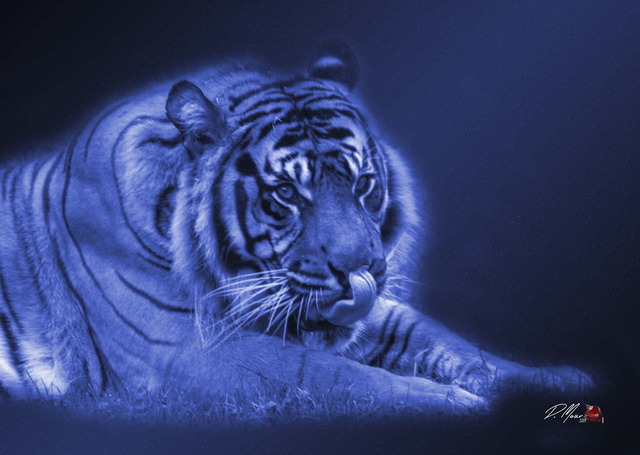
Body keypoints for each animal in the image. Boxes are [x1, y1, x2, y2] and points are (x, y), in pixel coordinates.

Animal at [0, 40, 592, 412]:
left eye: (363, 184)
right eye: (286, 194)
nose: (361, 270)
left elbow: (456, 345)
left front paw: (554, 381)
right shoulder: (188, 350)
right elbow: (332, 375)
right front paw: (451, 403)